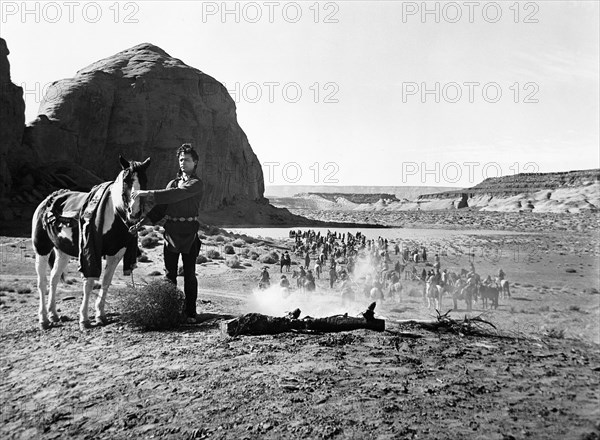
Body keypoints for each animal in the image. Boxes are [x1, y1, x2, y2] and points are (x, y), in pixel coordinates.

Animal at [32, 156, 152, 328]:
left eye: (144, 179)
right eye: (126, 180)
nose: (134, 212)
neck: (114, 213)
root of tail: (47, 201)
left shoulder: (116, 253)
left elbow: (106, 281)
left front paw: (101, 315)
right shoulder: (91, 250)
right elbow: (89, 282)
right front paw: (84, 319)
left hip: (62, 252)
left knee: (54, 277)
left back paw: (53, 314)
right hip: (41, 248)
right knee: (42, 282)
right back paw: (43, 319)